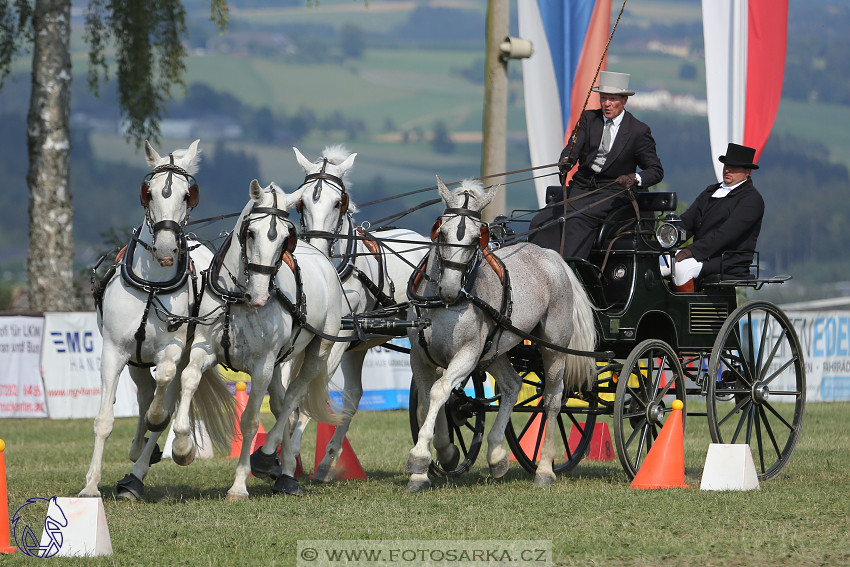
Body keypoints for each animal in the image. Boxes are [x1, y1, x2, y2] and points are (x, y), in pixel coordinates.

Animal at [79, 140, 234, 500]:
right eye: (147, 193)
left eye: (188, 194)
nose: (165, 250)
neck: (153, 284)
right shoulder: (114, 351)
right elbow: (104, 419)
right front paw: (91, 486)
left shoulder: (174, 347)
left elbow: (163, 396)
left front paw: (160, 421)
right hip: (135, 360)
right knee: (144, 392)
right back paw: (138, 451)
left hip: (191, 350)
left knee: (171, 393)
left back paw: (154, 458)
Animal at [171, 180, 342, 500]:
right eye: (250, 232)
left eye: (286, 239)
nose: (260, 297)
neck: (238, 298)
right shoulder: (204, 348)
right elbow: (188, 378)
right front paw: (182, 447)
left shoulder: (262, 365)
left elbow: (250, 419)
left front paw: (239, 484)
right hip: (278, 363)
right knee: (281, 403)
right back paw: (285, 471)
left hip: (319, 350)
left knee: (293, 398)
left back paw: (268, 458)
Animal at [292, 144, 428, 482]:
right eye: (301, 201)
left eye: (338, 202)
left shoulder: (332, 341)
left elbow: (305, 396)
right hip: (356, 345)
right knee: (353, 396)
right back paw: (327, 462)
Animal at [406, 179, 596, 492]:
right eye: (441, 232)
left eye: (476, 239)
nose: (449, 289)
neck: (443, 304)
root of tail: (550, 256)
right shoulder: (420, 355)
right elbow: (428, 399)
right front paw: (440, 456)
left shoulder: (468, 354)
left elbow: (440, 391)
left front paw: (421, 458)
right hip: (496, 350)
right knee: (512, 385)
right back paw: (496, 454)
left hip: (553, 347)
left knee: (552, 399)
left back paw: (545, 469)